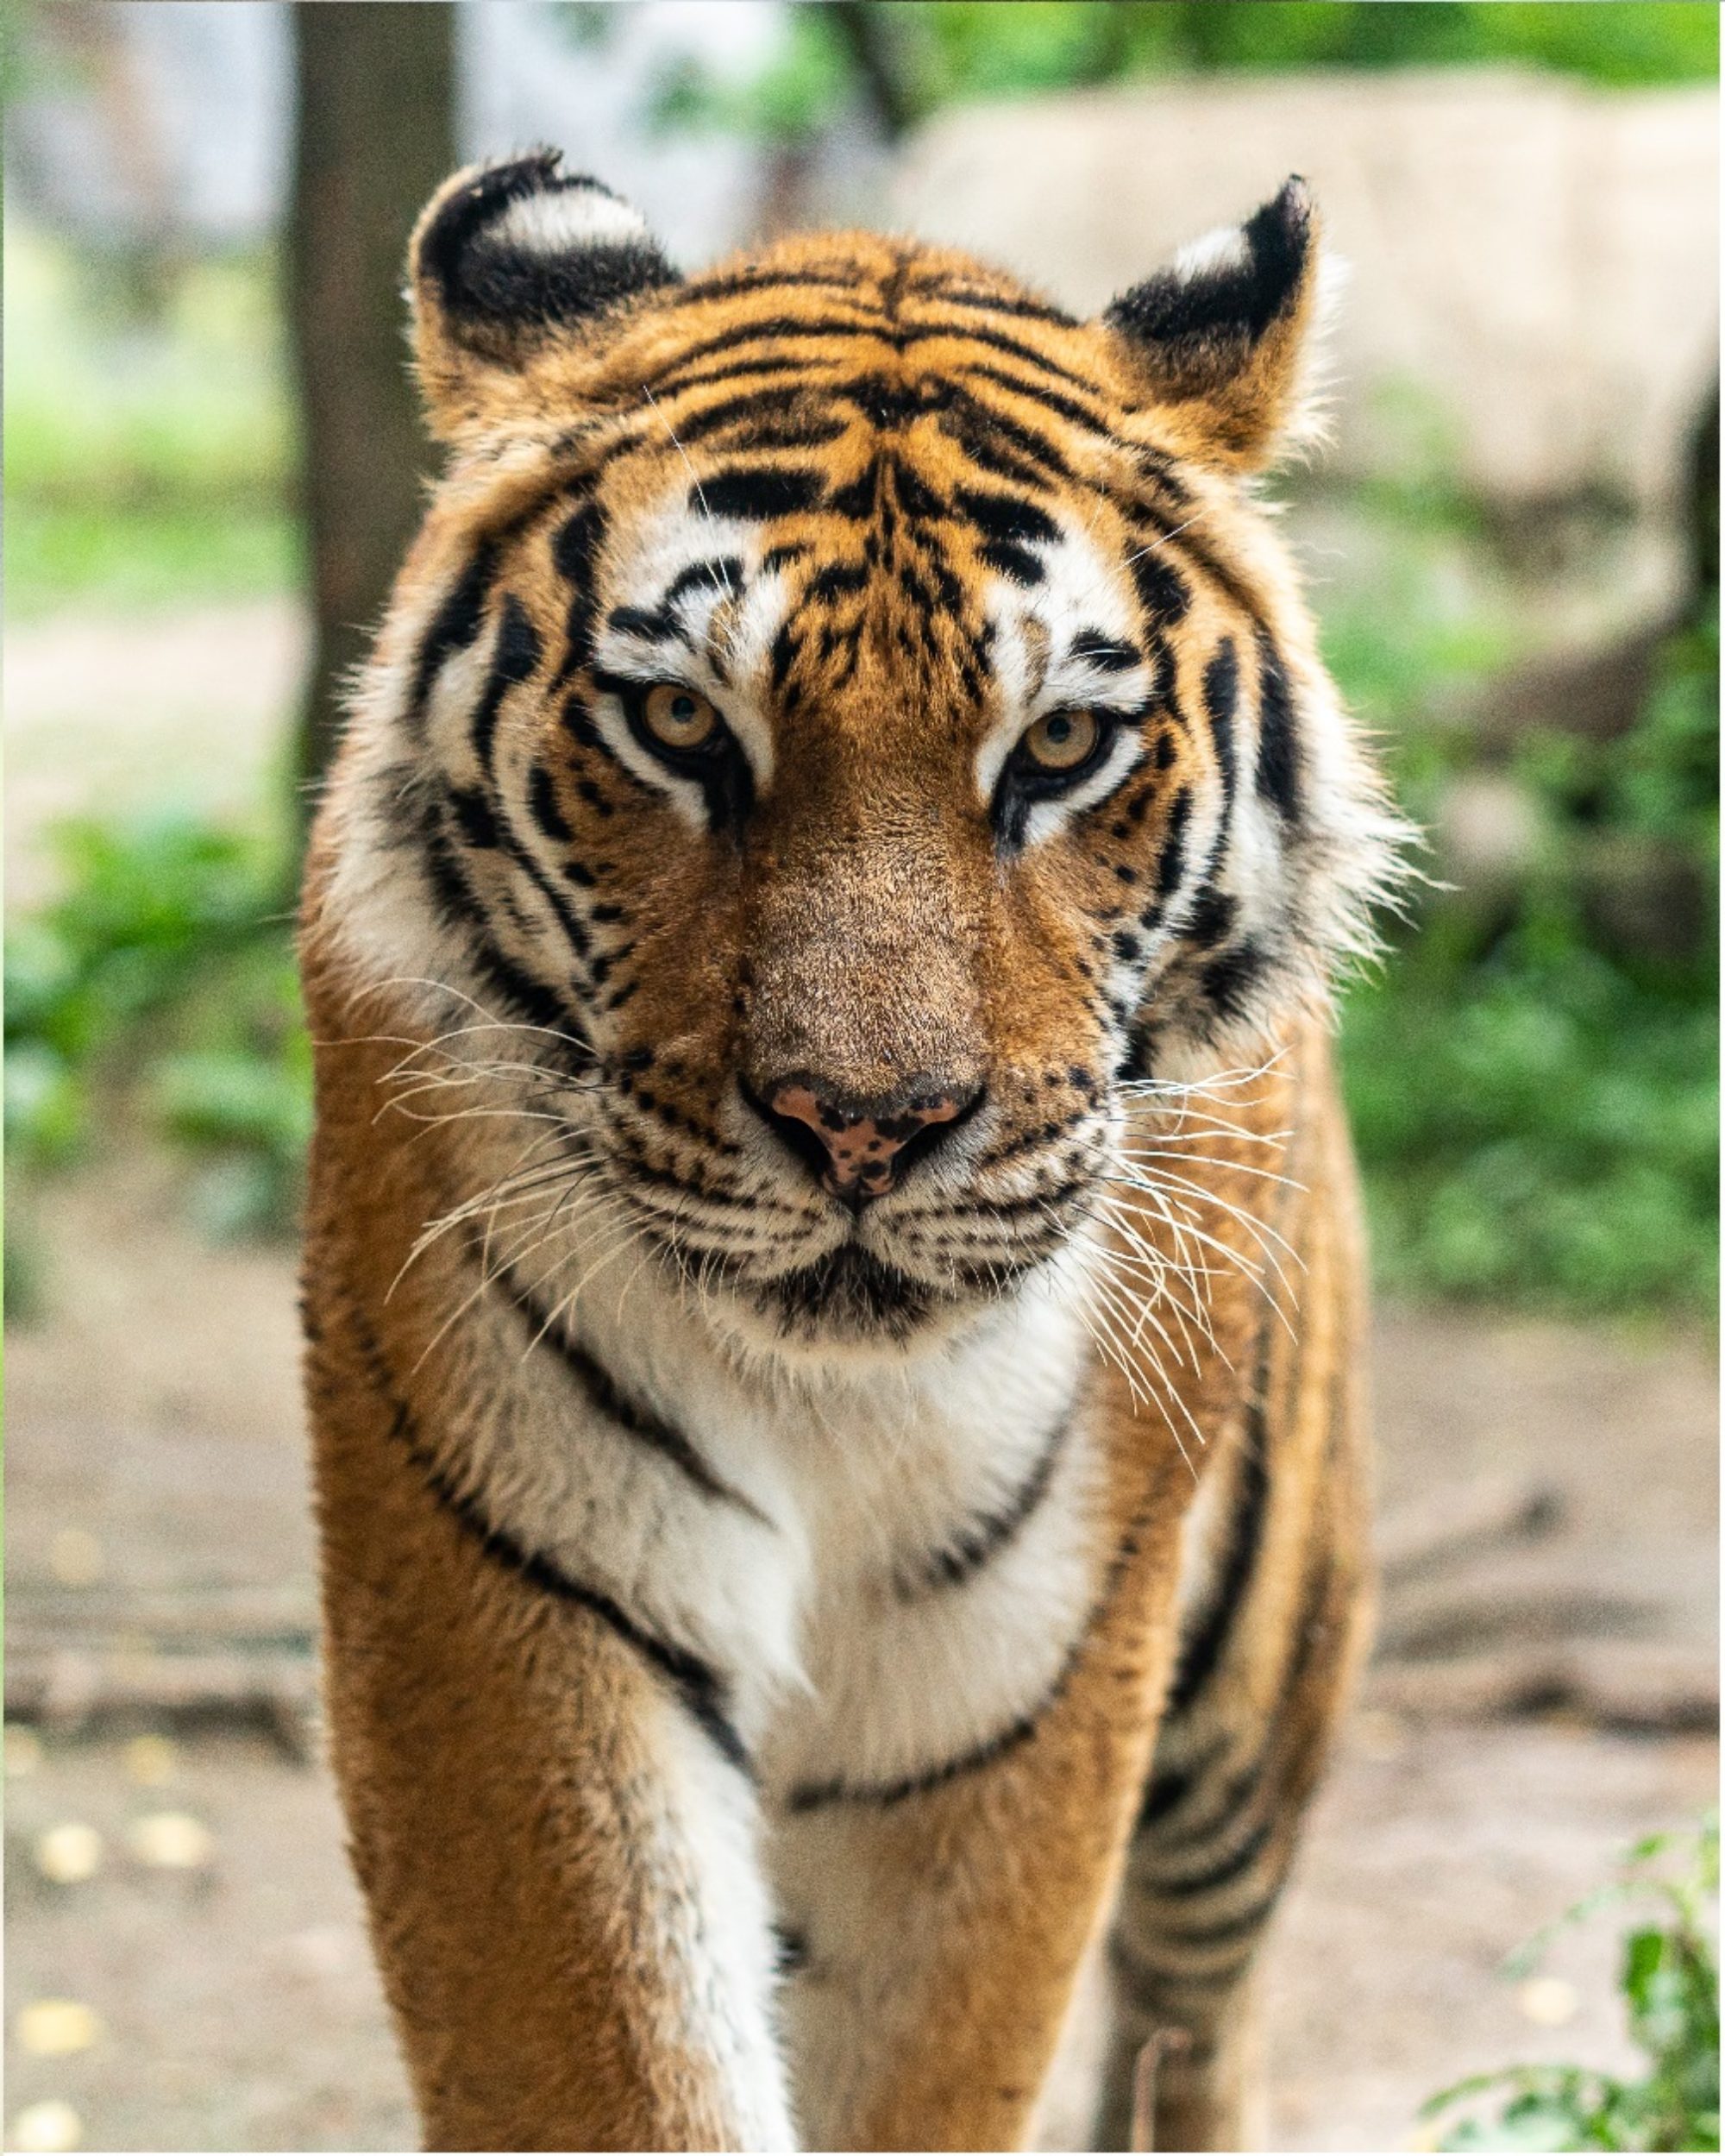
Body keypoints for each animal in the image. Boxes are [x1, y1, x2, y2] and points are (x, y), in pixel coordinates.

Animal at [298, 149, 1405, 2153]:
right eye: (678, 721)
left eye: (1060, 744)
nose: (863, 1125)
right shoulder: (514, 1593)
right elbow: (613, 2053)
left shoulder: (1020, 1678)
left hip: (1256, 1672)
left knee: (1199, 2008)